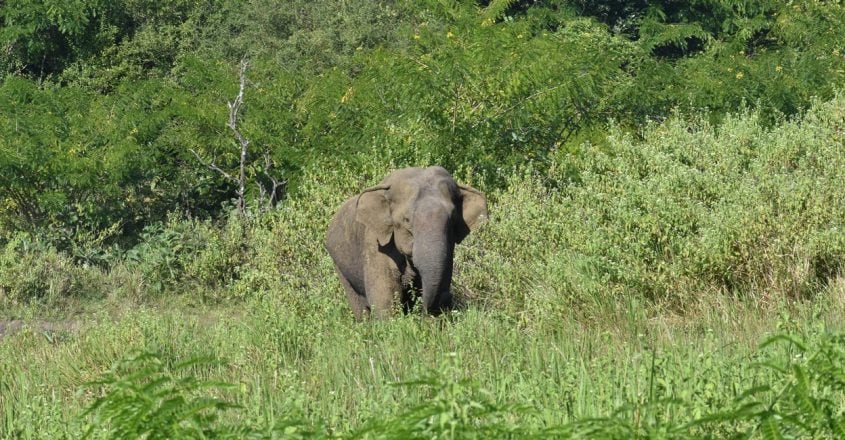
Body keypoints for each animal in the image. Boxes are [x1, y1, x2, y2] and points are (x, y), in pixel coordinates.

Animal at [328, 167, 492, 318]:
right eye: (406, 220)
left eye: (452, 218)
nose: (424, 311)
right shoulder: (375, 244)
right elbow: (385, 301)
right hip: (339, 265)